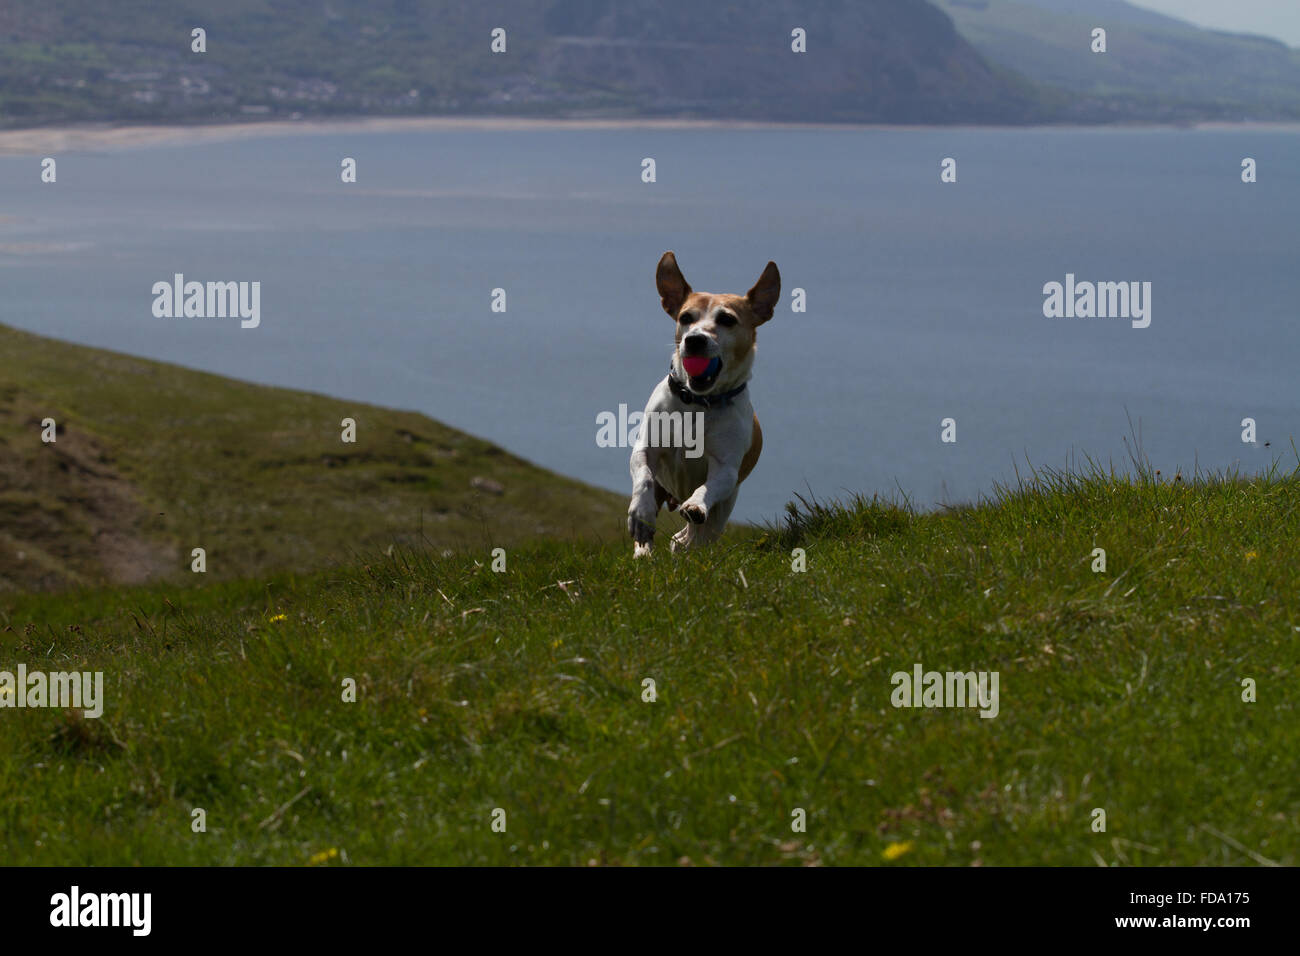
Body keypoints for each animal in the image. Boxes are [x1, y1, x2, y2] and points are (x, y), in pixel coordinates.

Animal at [624, 251, 774, 556]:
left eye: (727, 319)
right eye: (685, 317)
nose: (694, 340)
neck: (696, 402)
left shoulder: (726, 468)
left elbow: (711, 485)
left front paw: (695, 504)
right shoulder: (646, 449)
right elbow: (643, 475)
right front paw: (640, 515)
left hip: (722, 511)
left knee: (696, 535)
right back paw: (644, 550)